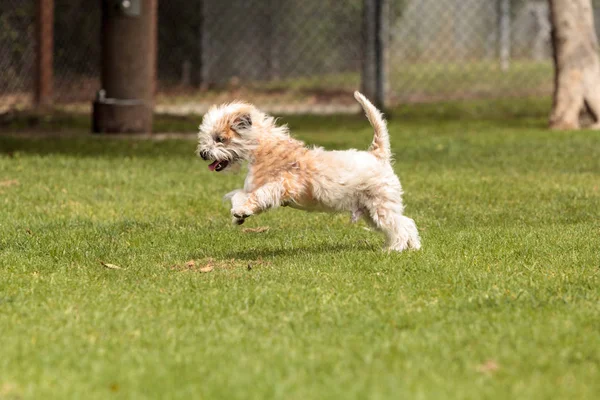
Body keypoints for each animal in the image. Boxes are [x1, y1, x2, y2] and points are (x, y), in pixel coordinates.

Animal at [197, 92, 422, 252]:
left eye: (219, 138)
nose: (202, 153)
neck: (265, 150)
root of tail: (377, 155)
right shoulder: (251, 187)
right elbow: (239, 195)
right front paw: (239, 214)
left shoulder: (283, 185)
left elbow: (259, 195)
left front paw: (243, 211)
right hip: (370, 211)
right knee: (407, 223)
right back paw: (413, 248)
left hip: (380, 206)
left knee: (401, 225)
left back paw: (395, 249)